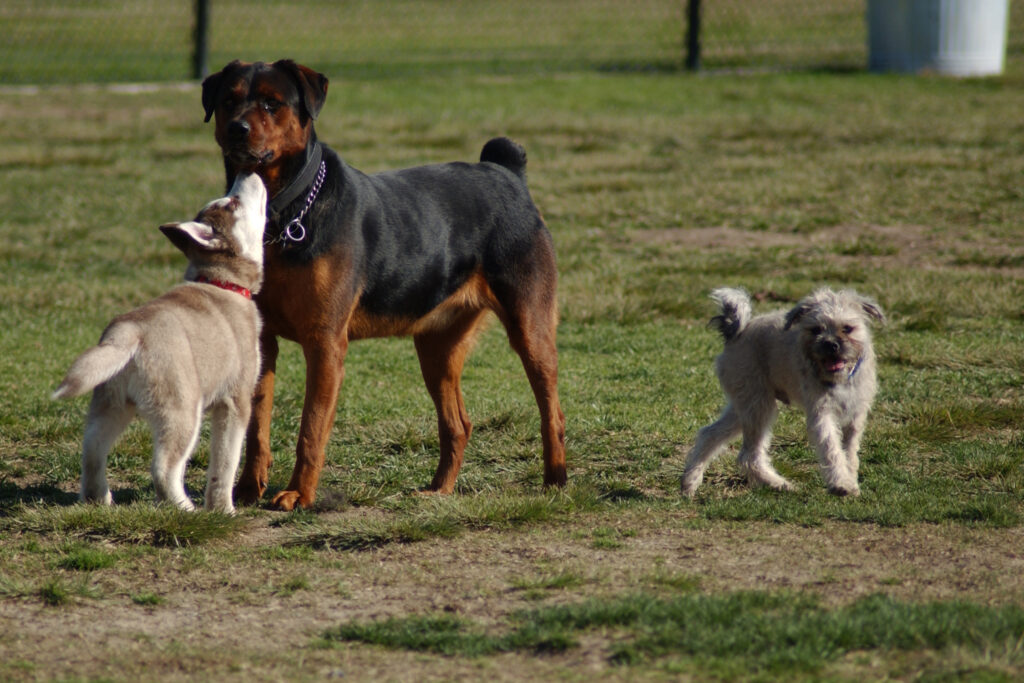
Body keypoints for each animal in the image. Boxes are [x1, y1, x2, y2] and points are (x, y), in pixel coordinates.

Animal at [54, 175, 266, 511]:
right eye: (232, 203)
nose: (248, 172)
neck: (222, 283)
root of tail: (128, 332)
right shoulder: (235, 400)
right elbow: (225, 464)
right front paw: (223, 510)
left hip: (110, 405)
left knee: (91, 452)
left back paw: (98, 500)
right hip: (182, 412)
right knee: (164, 468)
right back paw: (185, 509)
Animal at [199, 60, 569, 507]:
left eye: (272, 103)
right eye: (228, 100)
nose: (237, 128)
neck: (282, 214)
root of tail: (507, 173)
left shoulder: (325, 342)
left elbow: (311, 428)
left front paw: (299, 494)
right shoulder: (262, 341)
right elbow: (257, 426)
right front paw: (247, 490)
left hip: (529, 326)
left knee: (551, 410)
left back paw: (555, 481)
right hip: (437, 345)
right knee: (458, 423)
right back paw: (439, 489)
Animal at [679, 286, 880, 497]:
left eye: (847, 328)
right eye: (816, 329)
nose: (831, 345)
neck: (840, 380)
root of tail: (735, 333)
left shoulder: (856, 416)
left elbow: (849, 452)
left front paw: (850, 479)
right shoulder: (821, 413)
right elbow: (831, 448)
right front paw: (841, 483)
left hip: (745, 406)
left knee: (710, 433)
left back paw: (690, 481)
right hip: (759, 406)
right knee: (748, 456)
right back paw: (779, 484)